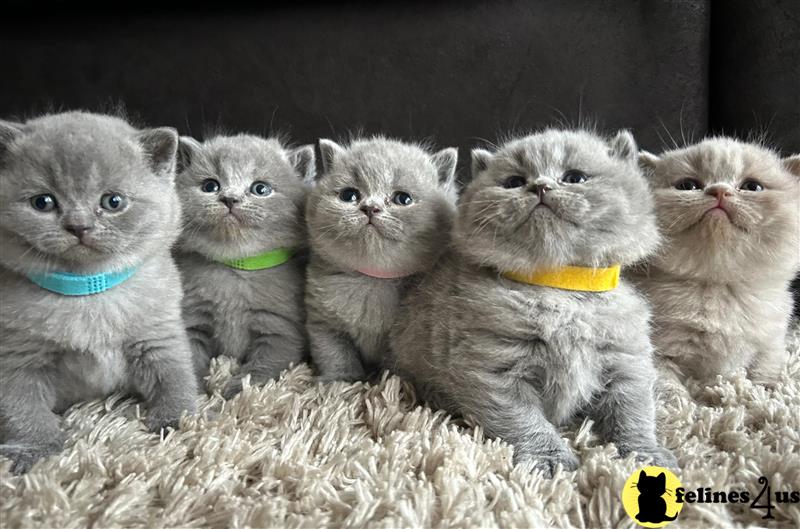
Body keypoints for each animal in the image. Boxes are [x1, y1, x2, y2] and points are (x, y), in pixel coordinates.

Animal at [0, 112, 198, 474]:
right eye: (43, 202)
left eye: (113, 201)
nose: (79, 226)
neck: (88, 292)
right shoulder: (17, 357)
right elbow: (23, 409)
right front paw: (34, 449)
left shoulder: (158, 337)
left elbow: (175, 377)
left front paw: (177, 421)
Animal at [175, 133, 316, 396]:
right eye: (210, 186)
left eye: (260, 189)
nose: (230, 198)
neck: (236, 265)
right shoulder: (192, 318)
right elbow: (189, 356)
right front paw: (198, 394)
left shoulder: (281, 330)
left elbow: (261, 367)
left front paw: (234, 392)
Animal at [304, 138, 456, 382]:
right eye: (349, 195)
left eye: (403, 199)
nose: (370, 208)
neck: (373, 281)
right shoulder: (323, 323)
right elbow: (334, 354)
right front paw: (340, 379)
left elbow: (395, 365)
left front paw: (386, 381)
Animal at [390, 130, 680, 476]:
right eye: (514, 182)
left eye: (574, 178)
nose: (540, 186)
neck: (558, 288)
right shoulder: (494, 370)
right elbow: (525, 422)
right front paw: (549, 459)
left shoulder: (626, 362)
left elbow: (633, 414)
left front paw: (644, 454)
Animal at [636, 138, 796, 382]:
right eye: (687, 186)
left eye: (752, 187)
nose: (719, 190)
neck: (719, 287)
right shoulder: (655, 352)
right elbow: (665, 385)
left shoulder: (770, 343)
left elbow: (764, 372)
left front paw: (766, 385)